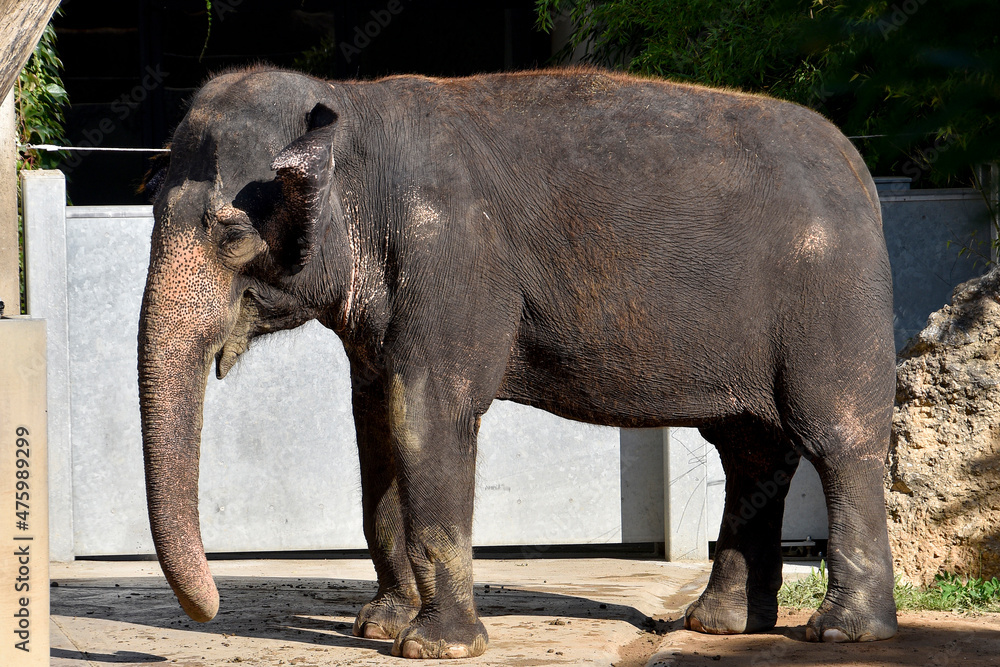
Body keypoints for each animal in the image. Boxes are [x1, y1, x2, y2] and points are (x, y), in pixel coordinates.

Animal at [138, 66, 897, 659]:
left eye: (231, 232)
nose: (207, 609)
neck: (353, 108)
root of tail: (861, 173)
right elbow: (374, 421)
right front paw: (376, 627)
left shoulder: (454, 260)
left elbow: (428, 411)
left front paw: (433, 647)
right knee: (751, 450)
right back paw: (721, 624)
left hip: (833, 295)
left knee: (836, 441)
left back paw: (842, 633)